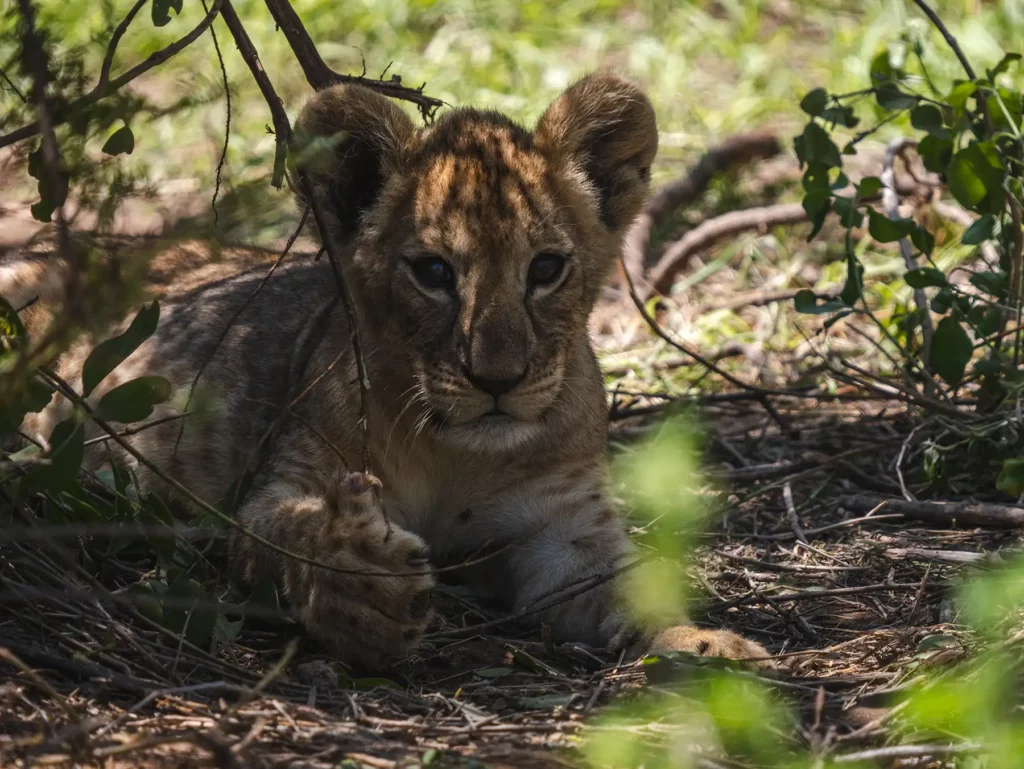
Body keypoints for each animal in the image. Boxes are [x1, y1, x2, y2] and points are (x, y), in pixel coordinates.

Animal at [10, 72, 769, 669]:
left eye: (546, 268)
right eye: (433, 273)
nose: (499, 380)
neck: (458, 455)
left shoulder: (565, 529)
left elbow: (634, 586)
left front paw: (707, 646)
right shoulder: (285, 482)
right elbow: (287, 538)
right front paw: (361, 591)